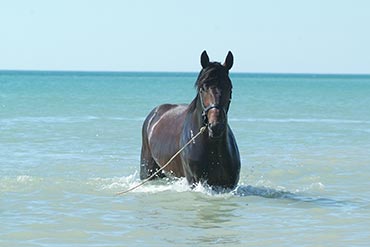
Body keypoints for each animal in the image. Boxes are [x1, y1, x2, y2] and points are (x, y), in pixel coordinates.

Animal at [140, 49, 241, 189]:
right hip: (148, 171)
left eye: (229, 87)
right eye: (203, 88)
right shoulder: (194, 182)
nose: (216, 126)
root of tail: (153, 115)